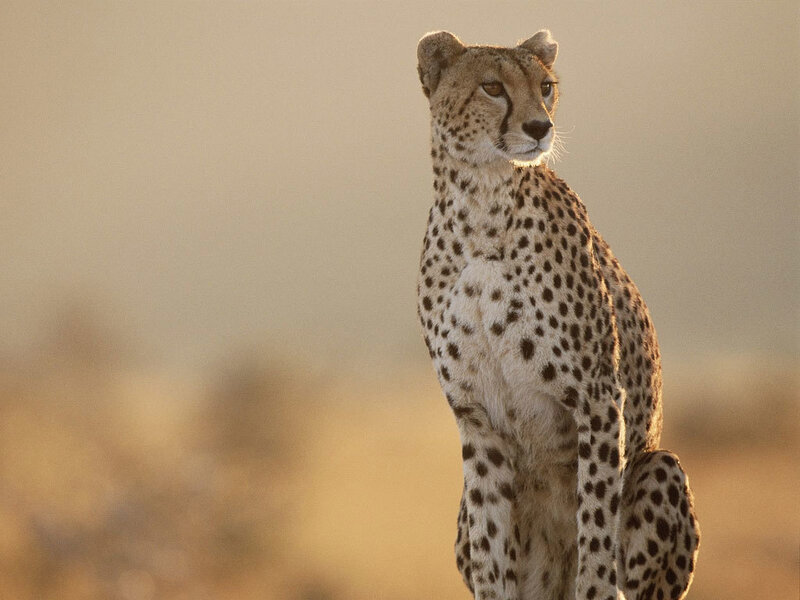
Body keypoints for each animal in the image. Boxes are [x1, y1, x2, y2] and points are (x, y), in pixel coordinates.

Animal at [415, 30, 700, 600]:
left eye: (545, 86)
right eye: (492, 87)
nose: (539, 126)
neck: (480, 208)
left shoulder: (597, 396)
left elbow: (595, 526)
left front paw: (592, 579)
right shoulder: (477, 421)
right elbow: (491, 545)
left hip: (660, 466)